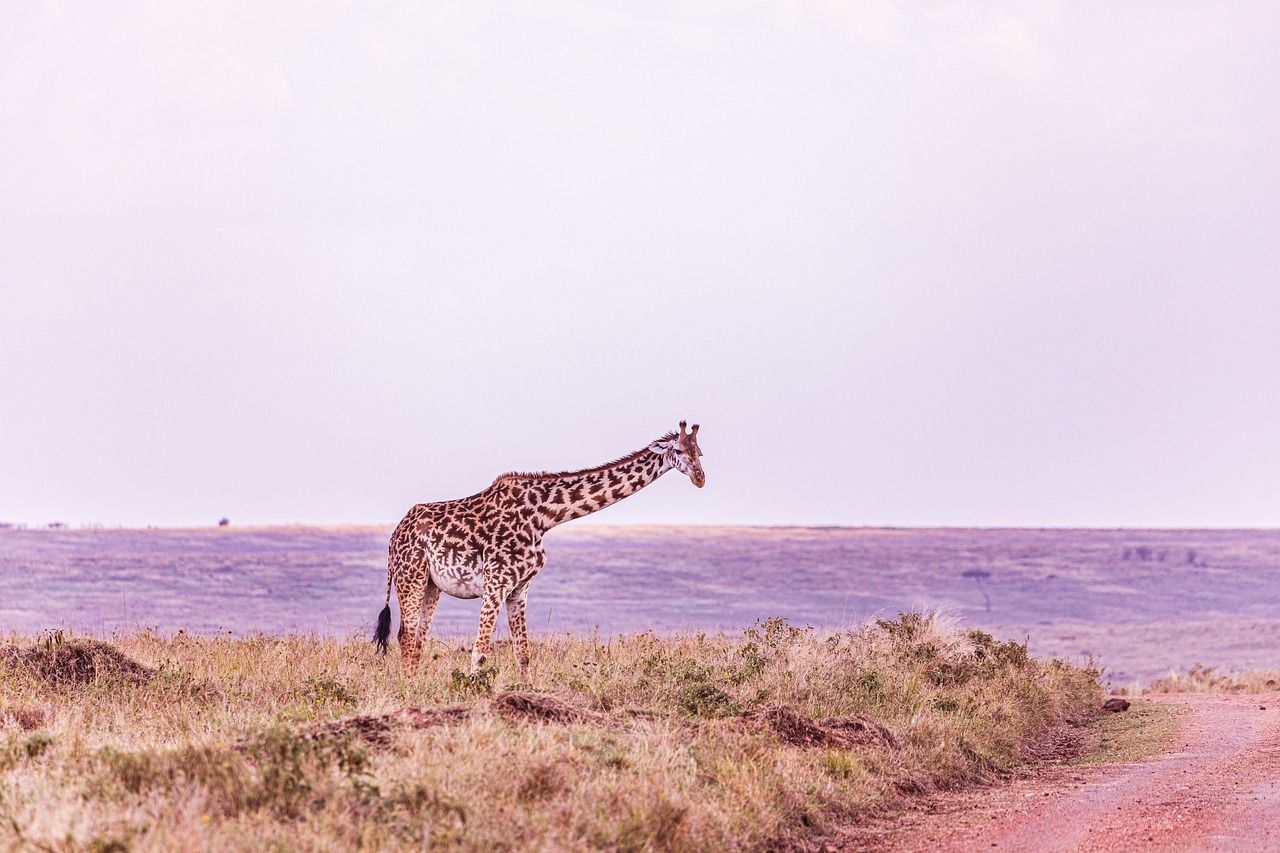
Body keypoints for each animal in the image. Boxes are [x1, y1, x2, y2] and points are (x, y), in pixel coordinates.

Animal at [373, 422, 706, 676]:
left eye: (699, 452)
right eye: (678, 451)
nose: (700, 478)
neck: (544, 517)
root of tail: (393, 537)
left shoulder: (519, 589)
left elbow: (523, 653)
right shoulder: (496, 583)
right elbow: (480, 651)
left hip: (432, 585)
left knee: (418, 638)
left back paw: (415, 684)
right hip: (411, 578)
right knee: (405, 635)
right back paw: (407, 689)